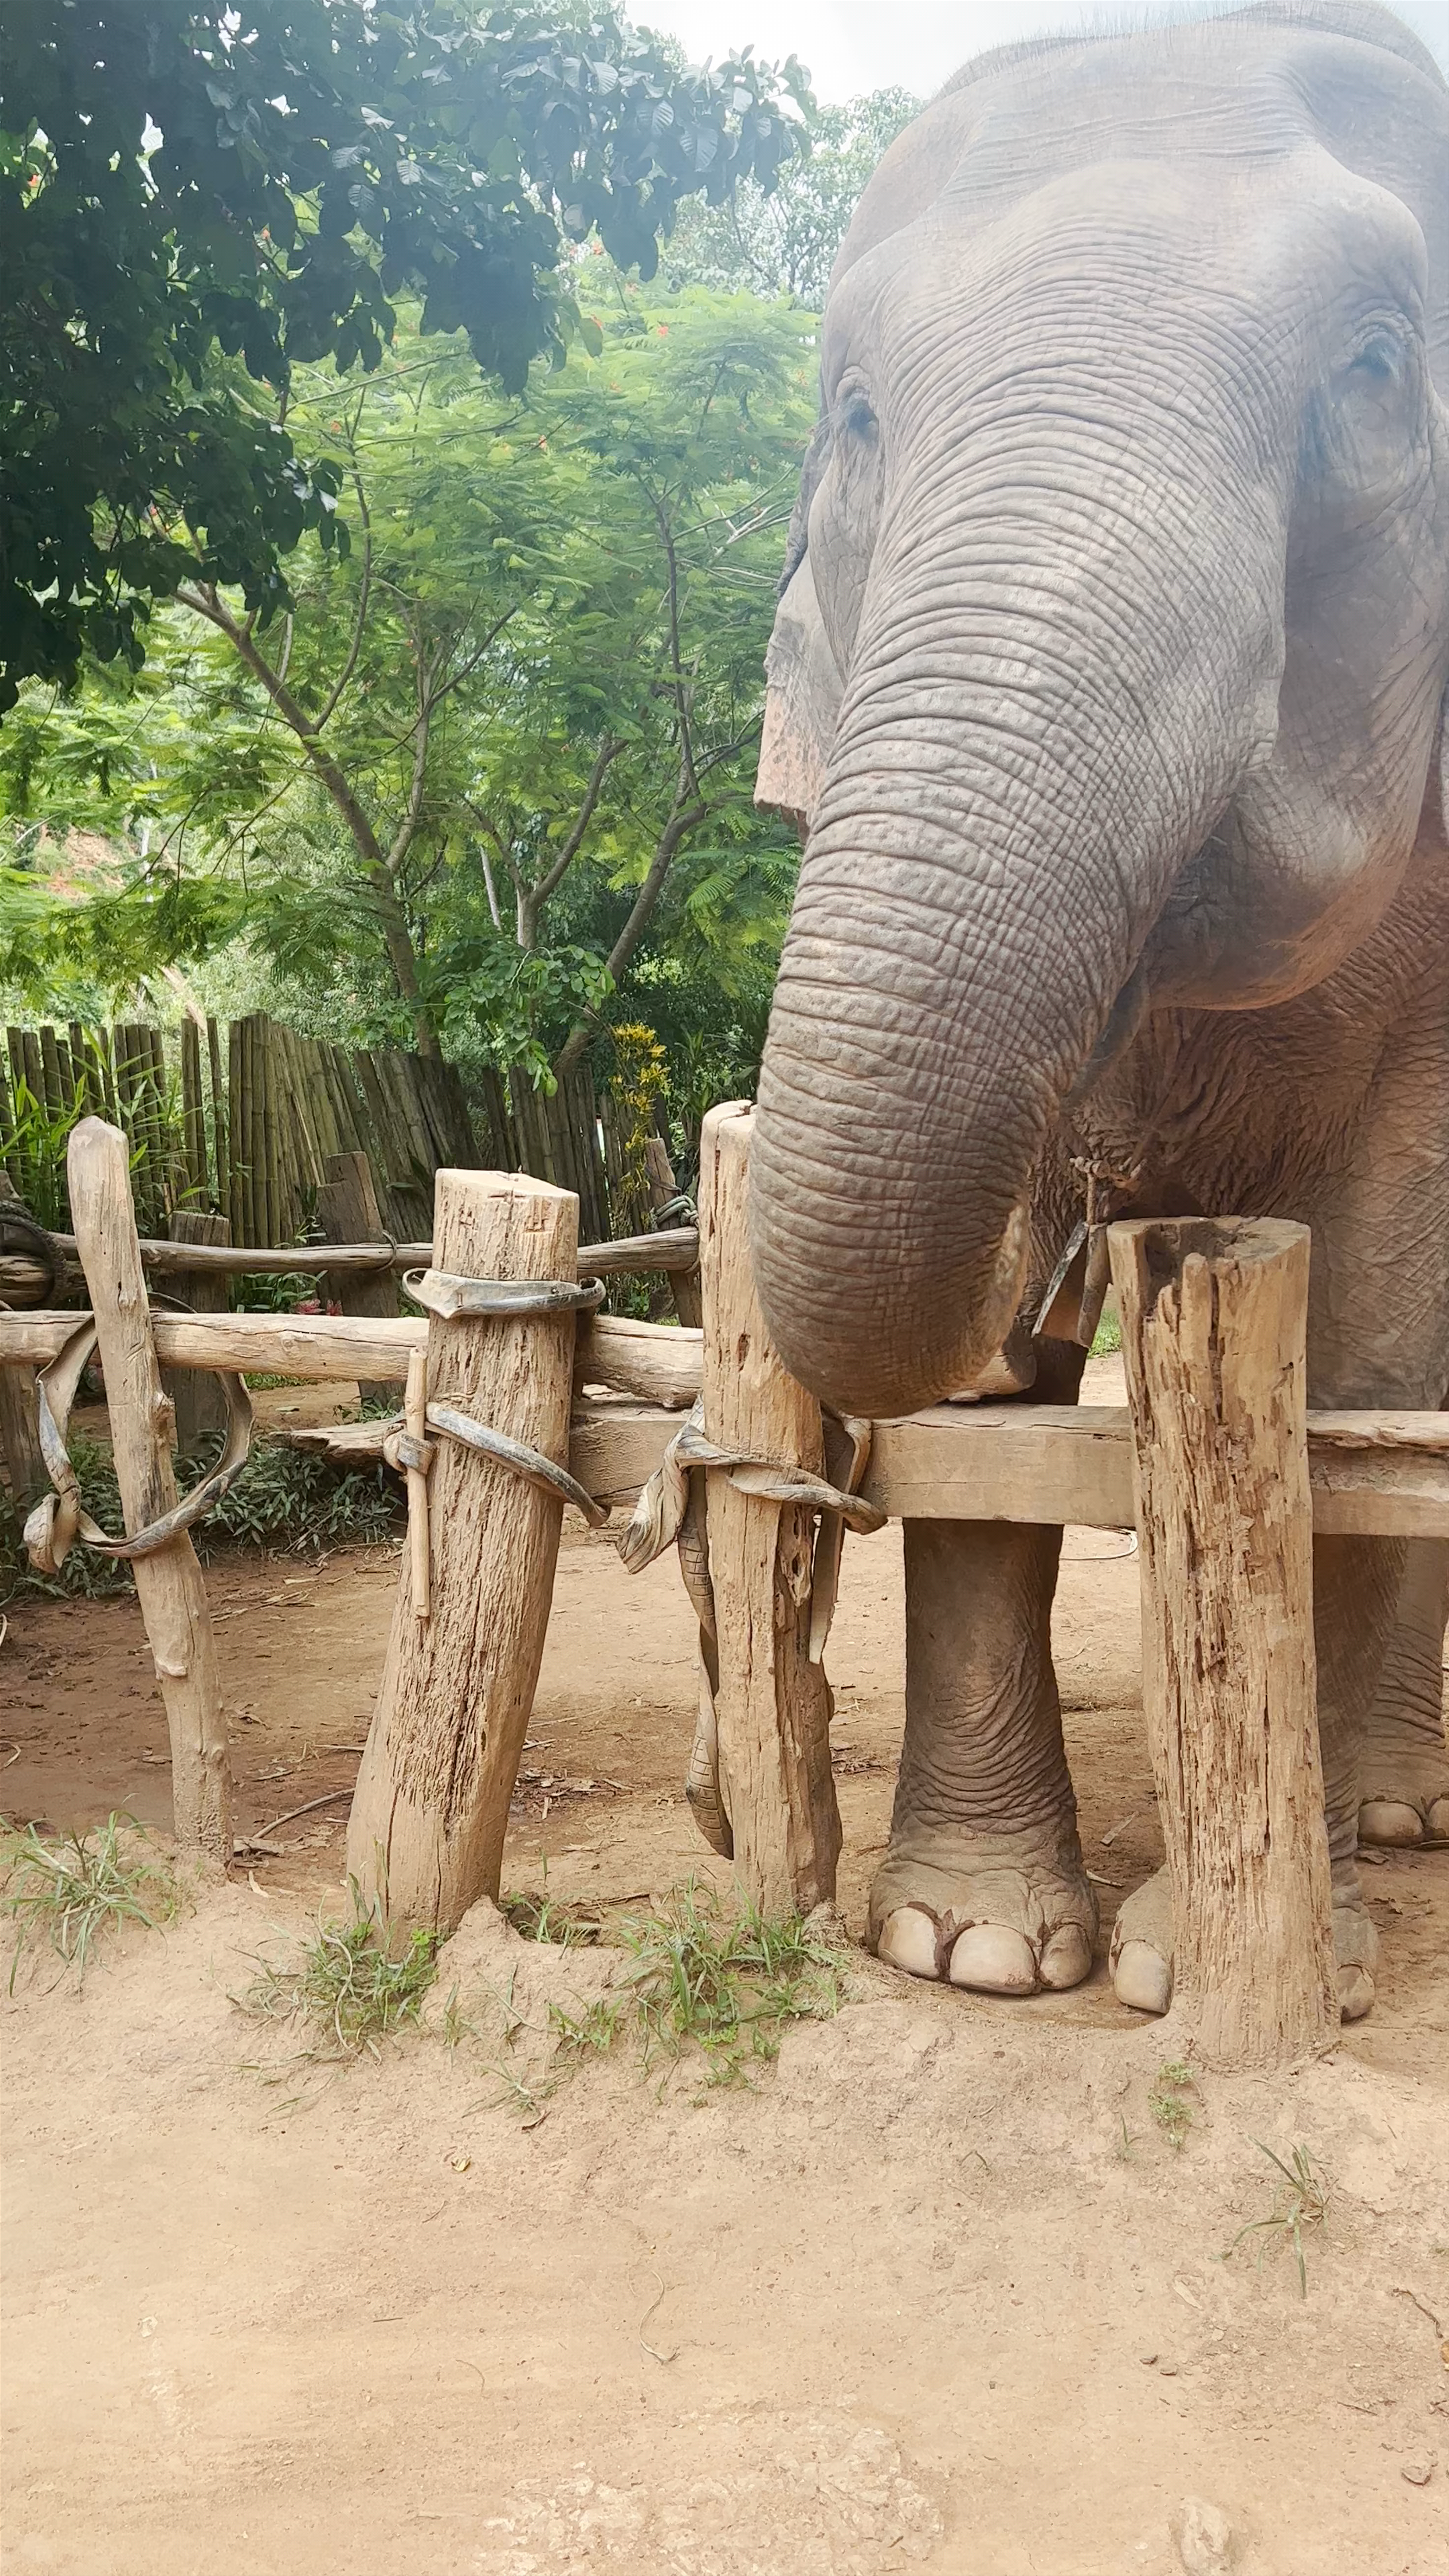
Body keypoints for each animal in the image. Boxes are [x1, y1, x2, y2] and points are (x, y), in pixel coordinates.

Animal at [748, 1, 1448, 2020]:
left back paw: (1397, 1815)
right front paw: (971, 1944)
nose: (1068, 1216)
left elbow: (1375, 1334)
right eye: (854, 416)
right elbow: (983, 1403)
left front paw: (1250, 1960)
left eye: (1379, 375)